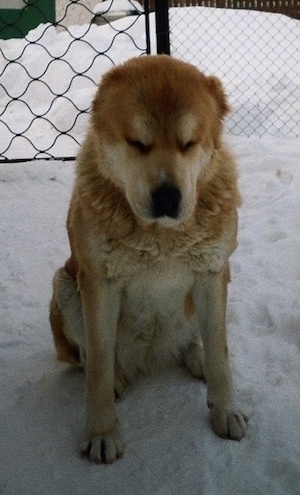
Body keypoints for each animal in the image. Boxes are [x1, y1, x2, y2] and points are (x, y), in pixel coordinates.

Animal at [49, 55, 247, 464]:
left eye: (189, 144)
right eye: (138, 143)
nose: (168, 197)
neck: (161, 238)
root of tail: (150, 355)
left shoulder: (212, 272)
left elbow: (220, 352)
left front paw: (225, 410)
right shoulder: (99, 282)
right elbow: (98, 362)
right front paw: (101, 431)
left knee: (197, 340)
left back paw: (195, 356)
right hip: (64, 284)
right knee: (89, 356)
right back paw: (117, 377)